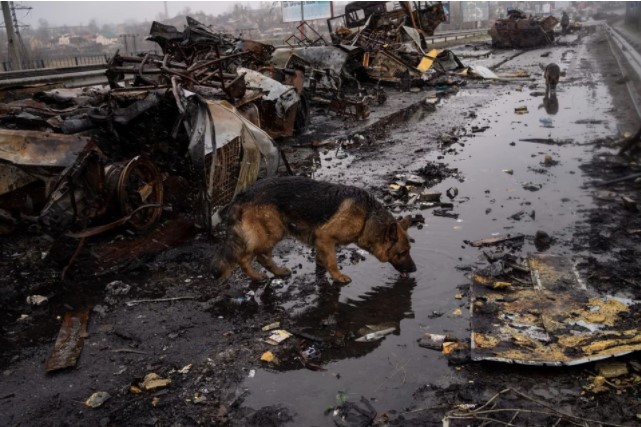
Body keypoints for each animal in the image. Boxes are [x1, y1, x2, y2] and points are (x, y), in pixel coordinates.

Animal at [212, 177, 418, 284]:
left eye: (409, 251)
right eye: (402, 252)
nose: (415, 269)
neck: (367, 217)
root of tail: (242, 194)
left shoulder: (321, 241)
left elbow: (321, 259)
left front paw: (321, 273)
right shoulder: (326, 236)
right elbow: (332, 261)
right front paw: (338, 276)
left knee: (261, 257)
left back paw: (278, 272)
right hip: (272, 232)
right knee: (245, 257)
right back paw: (257, 276)